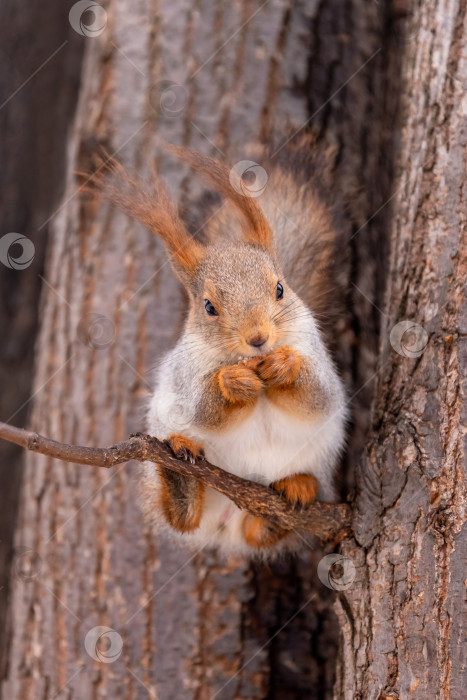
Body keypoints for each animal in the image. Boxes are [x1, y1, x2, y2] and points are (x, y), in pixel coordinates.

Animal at [104, 138, 350, 556]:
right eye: (208, 307)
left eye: (280, 288)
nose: (258, 338)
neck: (252, 360)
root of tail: (225, 528)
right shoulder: (185, 375)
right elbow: (203, 408)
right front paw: (233, 382)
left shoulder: (316, 355)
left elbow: (317, 395)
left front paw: (285, 366)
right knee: (182, 519)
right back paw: (181, 476)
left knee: (263, 531)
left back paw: (294, 490)